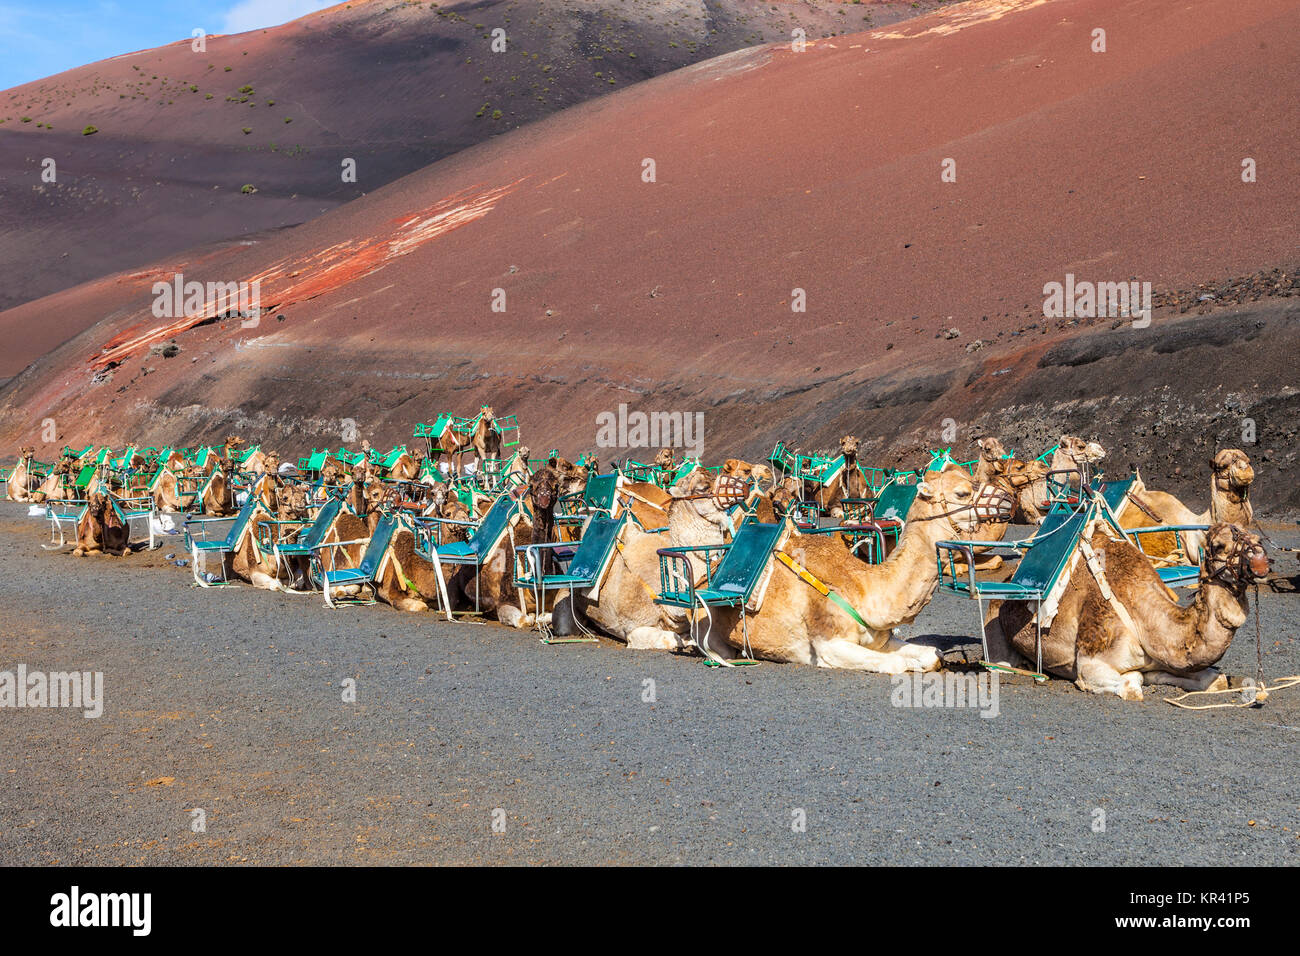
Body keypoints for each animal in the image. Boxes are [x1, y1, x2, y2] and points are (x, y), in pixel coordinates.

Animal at [982, 522, 1268, 702]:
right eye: (1219, 545)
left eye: (1257, 539)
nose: (1261, 562)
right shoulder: (1090, 662)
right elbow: (1133, 684)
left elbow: (1216, 680)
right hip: (993, 626)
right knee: (1000, 664)